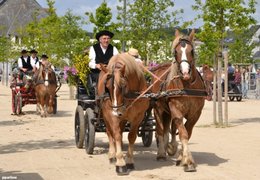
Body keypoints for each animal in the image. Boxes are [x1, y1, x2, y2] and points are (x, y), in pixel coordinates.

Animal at [150, 29, 207, 172]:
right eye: (176, 52)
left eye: (192, 51)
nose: (185, 73)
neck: (187, 86)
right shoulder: (176, 110)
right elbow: (183, 133)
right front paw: (188, 162)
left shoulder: (195, 114)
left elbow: (187, 132)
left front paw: (181, 157)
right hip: (158, 109)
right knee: (160, 130)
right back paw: (161, 153)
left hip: (168, 112)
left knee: (169, 129)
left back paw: (170, 147)